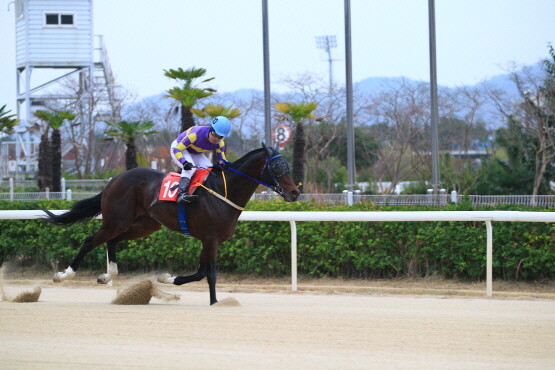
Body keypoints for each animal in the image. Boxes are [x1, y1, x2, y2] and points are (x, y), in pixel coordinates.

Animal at [43, 142, 300, 304]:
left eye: (288, 166)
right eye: (277, 167)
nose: (295, 193)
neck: (222, 192)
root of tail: (114, 179)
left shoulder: (209, 240)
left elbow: (200, 272)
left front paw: (166, 278)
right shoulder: (210, 238)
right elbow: (210, 273)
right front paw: (215, 301)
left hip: (144, 224)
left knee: (113, 241)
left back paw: (107, 276)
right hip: (116, 220)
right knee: (90, 241)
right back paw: (63, 275)